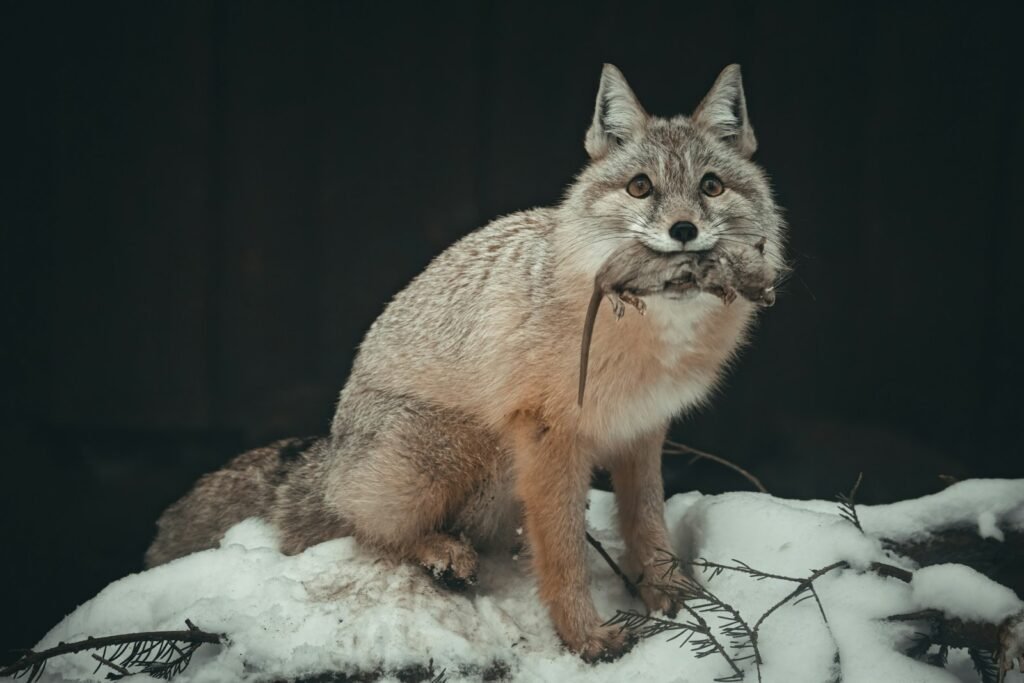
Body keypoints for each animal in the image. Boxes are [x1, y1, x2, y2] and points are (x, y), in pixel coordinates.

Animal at [146, 63, 786, 662]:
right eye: (639, 187)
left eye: (710, 186)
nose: (683, 231)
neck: (653, 338)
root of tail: (332, 450)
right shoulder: (549, 435)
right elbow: (564, 554)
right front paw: (585, 636)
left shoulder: (643, 431)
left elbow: (650, 531)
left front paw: (677, 603)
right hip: (464, 447)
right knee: (357, 528)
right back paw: (439, 552)